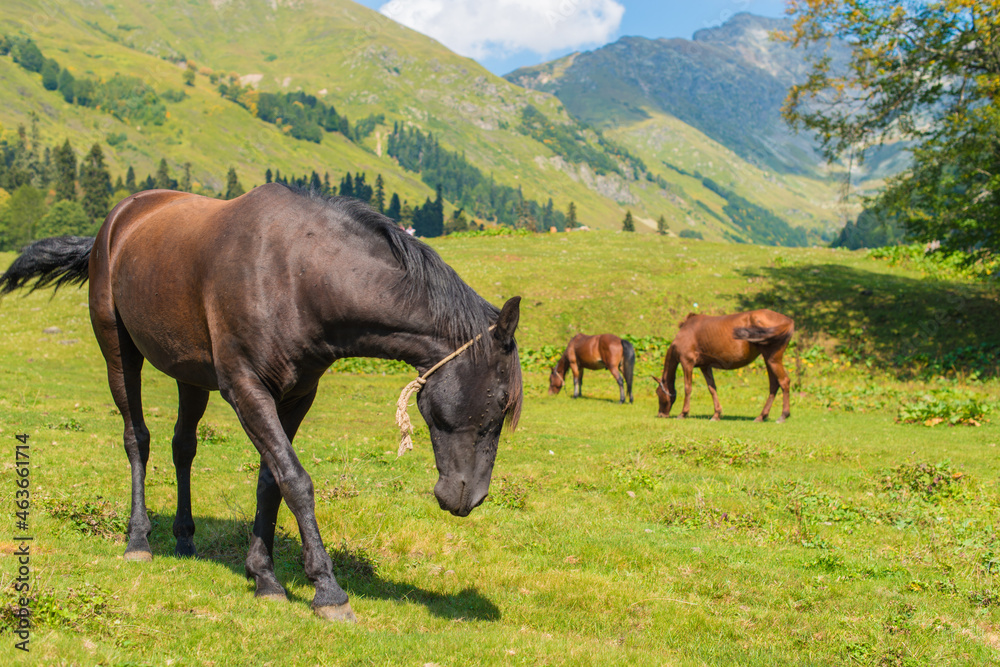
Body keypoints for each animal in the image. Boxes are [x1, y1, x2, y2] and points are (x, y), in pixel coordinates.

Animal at [0, 183, 528, 620]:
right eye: (500, 403)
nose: (468, 497)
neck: (296, 274)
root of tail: (116, 222)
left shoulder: (295, 396)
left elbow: (270, 481)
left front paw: (265, 576)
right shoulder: (246, 389)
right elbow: (295, 480)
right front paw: (327, 590)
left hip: (190, 375)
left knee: (182, 447)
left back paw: (185, 538)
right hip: (118, 353)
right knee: (138, 440)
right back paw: (138, 538)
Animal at [652, 312, 792, 422]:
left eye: (658, 392)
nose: (661, 414)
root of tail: (788, 321)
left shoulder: (687, 362)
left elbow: (688, 388)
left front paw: (683, 413)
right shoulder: (705, 366)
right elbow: (712, 388)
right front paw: (716, 414)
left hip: (772, 359)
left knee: (784, 381)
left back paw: (783, 415)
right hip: (768, 360)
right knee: (774, 385)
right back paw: (761, 416)